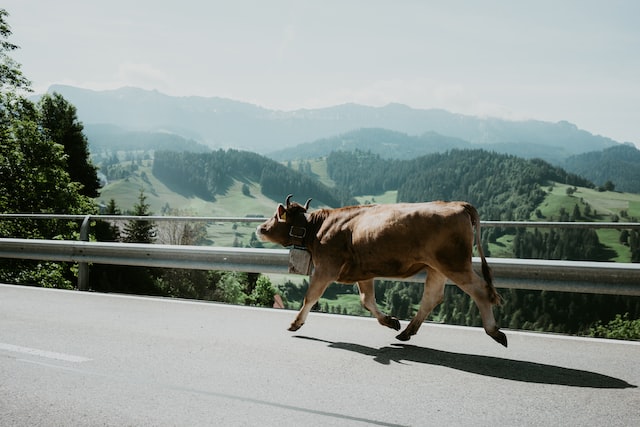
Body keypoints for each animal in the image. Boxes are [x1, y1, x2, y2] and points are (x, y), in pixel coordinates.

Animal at [258, 195, 508, 348]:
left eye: (276, 214)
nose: (260, 228)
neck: (318, 229)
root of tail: (459, 204)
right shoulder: (364, 272)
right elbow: (367, 300)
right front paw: (390, 321)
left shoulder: (326, 267)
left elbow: (311, 296)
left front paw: (296, 323)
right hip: (436, 266)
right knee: (432, 297)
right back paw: (406, 332)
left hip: (454, 263)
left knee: (481, 291)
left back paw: (495, 331)